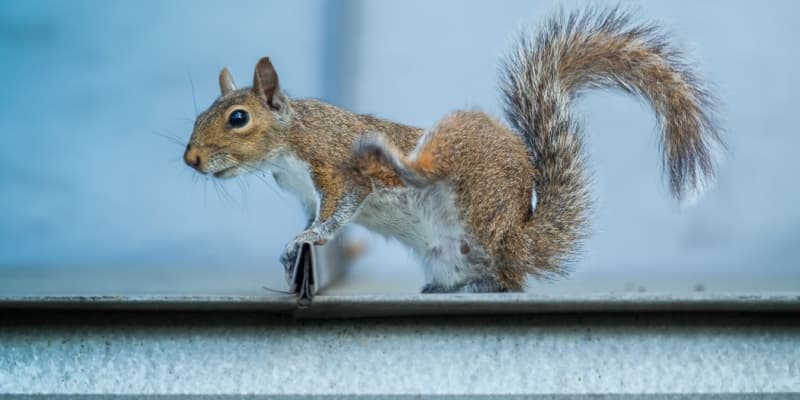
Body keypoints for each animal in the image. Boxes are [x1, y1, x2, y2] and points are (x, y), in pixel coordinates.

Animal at [184, 7, 722, 293]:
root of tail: (515, 239)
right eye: (200, 113)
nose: (191, 159)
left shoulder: (336, 166)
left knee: (503, 275)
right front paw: (295, 244)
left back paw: (399, 160)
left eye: (238, 118)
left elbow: (337, 210)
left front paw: (309, 238)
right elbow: (315, 214)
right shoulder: (304, 188)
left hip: (464, 159)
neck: (289, 141)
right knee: (500, 280)